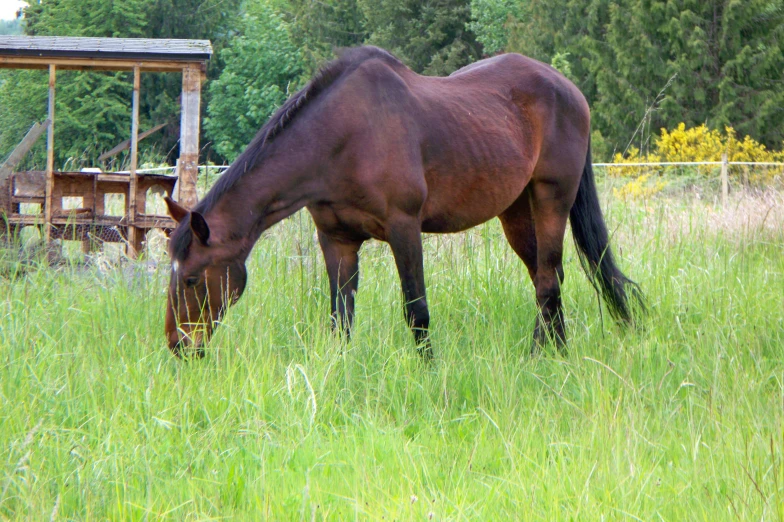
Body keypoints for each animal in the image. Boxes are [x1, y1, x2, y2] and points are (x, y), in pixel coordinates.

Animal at [162, 45, 640, 358]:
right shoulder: (336, 239)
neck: (341, 138)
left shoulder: (404, 228)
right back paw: (556, 352)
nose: (179, 346)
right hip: (516, 211)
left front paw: (429, 371)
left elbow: (417, 310)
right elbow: (340, 317)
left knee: (547, 279)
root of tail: (571, 91)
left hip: (551, 197)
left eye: (192, 279)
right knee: (548, 274)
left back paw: (542, 355)